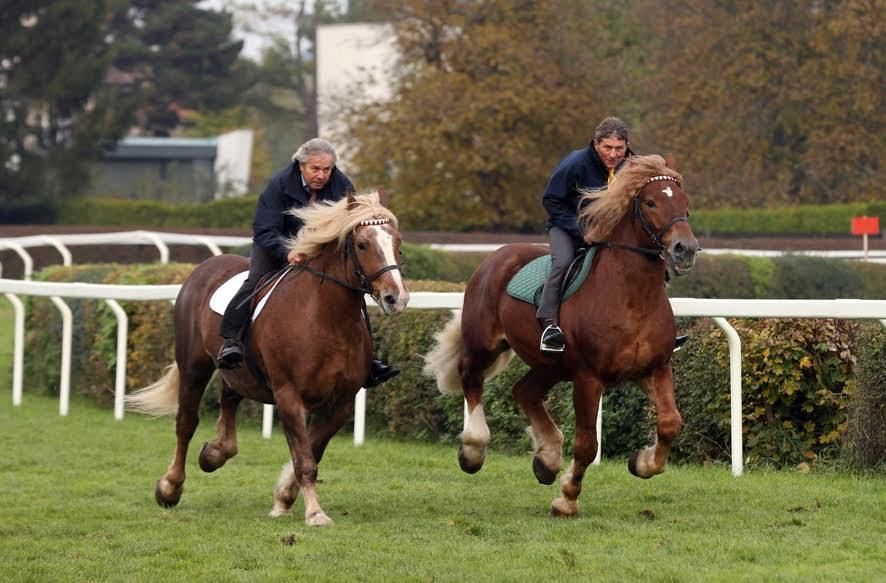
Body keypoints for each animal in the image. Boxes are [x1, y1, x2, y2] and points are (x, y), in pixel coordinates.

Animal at [125, 192, 410, 524]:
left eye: (397, 241)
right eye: (362, 244)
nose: (396, 298)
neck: (326, 318)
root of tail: (207, 265)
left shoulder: (340, 402)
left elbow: (312, 450)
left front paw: (284, 497)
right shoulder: (289, 396)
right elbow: (305, 459)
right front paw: (314, 512)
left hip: (238, 371)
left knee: (228, 398)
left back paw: (214, 453)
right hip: (193, 366)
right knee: (186, 422)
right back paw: (170, 487)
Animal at [424, 154, 700, 516]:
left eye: (684, 202)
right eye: (651, 202)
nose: (685, 249)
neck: (632, 296)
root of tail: (496, 256)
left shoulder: (655, 367)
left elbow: (670, 423)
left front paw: (641, 462)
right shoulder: (588, 378)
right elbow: (587, 445)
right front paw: (567, 499)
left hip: (550, 365)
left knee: (525, 391)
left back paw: (547, 459)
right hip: (484, 345)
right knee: (471, 379)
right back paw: (474, 449)